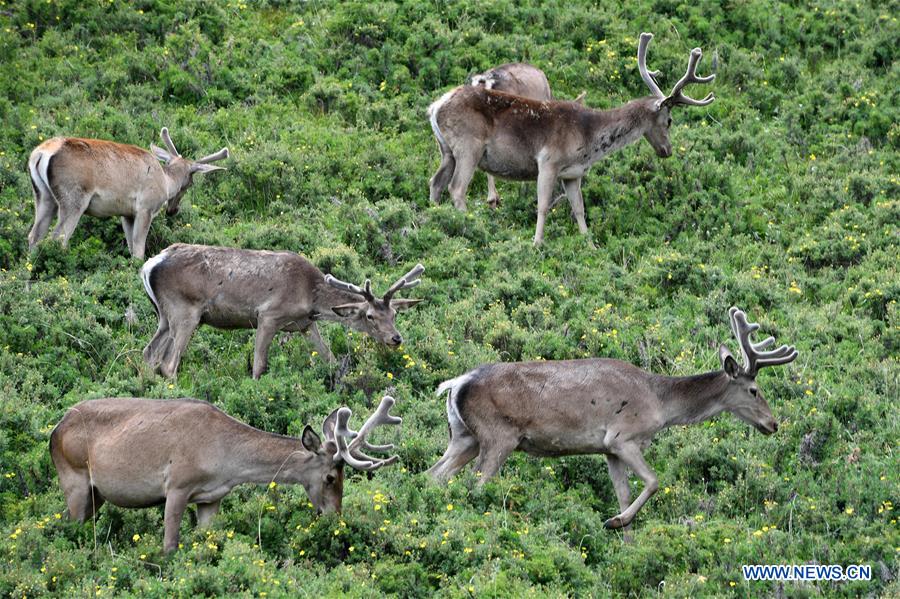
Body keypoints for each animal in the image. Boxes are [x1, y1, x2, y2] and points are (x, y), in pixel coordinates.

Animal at [27, 128, 229, 259]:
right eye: (189, 184)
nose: (173, 211)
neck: (165, 181)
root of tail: (40, 154)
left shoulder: (126, 213)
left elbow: (132, 248)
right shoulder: (146, 207)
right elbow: (139, 250)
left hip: (43, 196)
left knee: (34, 235)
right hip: (74, 198)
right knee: (58, 238)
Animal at [50, 394, 402, 553]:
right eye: (330, 478)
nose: (335, 519)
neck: (224, 463)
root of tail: (55, 430)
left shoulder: (211, 498)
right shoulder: (177, 485)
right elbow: (170, 545)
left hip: (96, 493)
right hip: (74, 478)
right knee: (69, 525)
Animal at [141, 243, 424, 379]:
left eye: (394, 314)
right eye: (370, 316)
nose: (395, 338)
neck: (310, 297)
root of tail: (149, 264)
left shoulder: (306, 325)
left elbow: (329, 357)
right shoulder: (268, 315)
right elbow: (259, 365)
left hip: (164, 315)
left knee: (149, 354)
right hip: (185, 310)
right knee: (168, 363)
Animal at [427, 307, 797, 534]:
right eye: (754, 390)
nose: (773, 424)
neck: (660, 403)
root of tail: (457, 383)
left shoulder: (608, 451)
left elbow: (623, 492)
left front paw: (624, 536)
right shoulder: (622, 437)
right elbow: (654, 481)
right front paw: (614, 522)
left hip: (464, 436)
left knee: (433, 476)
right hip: (497, 435)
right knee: (474, 483)